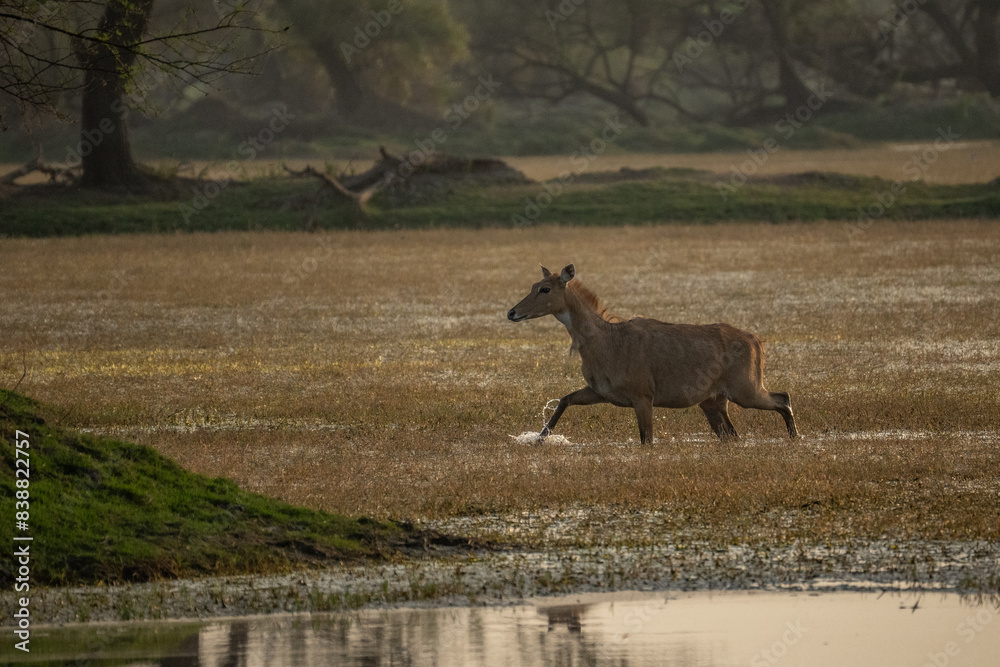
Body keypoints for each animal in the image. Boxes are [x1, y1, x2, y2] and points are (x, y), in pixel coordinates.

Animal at [507, 264, 798, 444]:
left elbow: (646, 439)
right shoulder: (601, 391)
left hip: (745, 388)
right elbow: (564, 400)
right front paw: (538, 439)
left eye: (545, 288)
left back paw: (796, 436)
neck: (603, 345)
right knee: (733, 434)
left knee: (783, 397)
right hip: (714, 399)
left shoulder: (643, 395)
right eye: (534, 284)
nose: (512, 312)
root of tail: (757, 342)